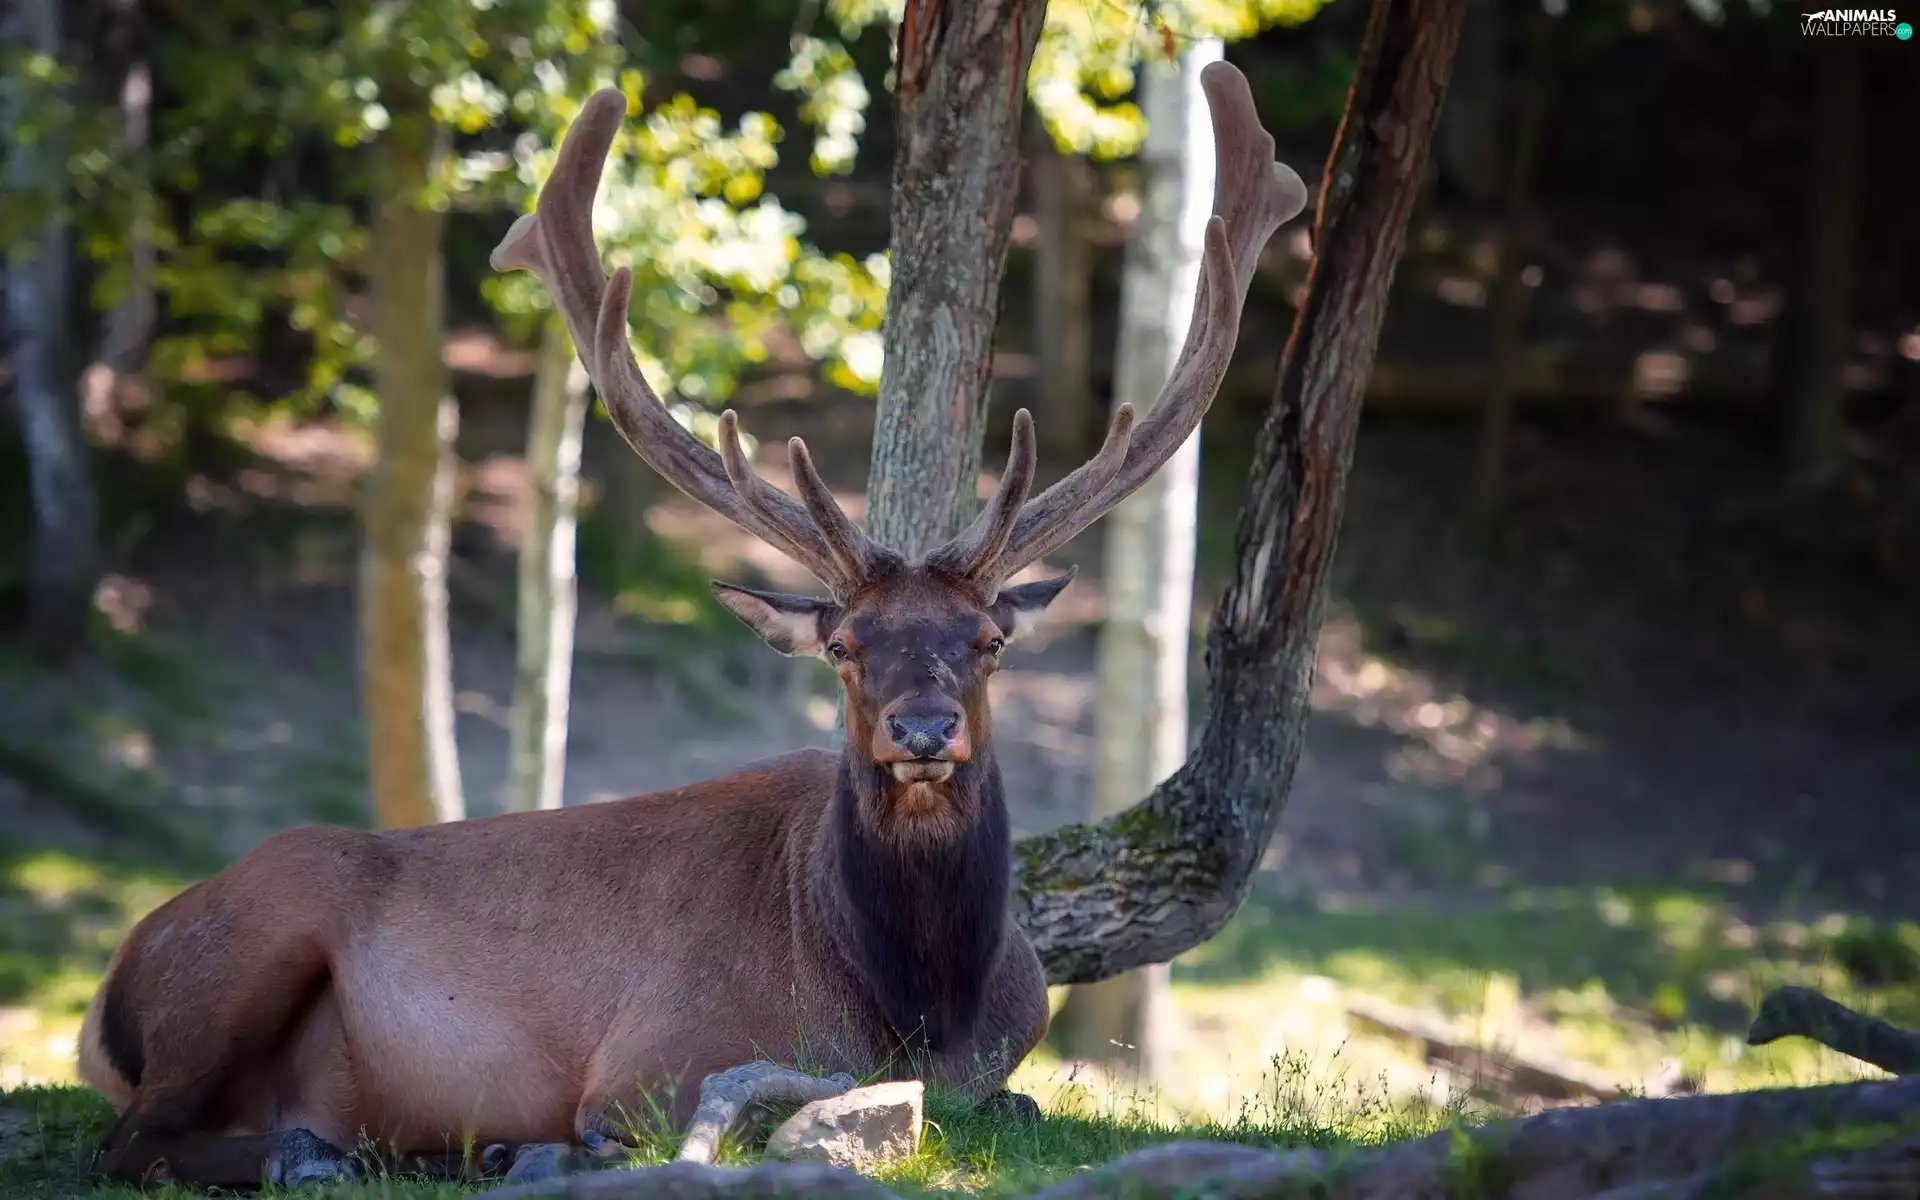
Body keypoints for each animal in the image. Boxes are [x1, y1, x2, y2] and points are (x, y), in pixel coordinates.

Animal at [75, 60, 1307, 1189]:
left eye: (988, 643)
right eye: (845, 647)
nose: (920, 731)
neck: (920, 1006)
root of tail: (111, 984)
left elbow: (1023, 1105)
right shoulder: (654, 1060)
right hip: (252, 939)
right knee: (132, 1140)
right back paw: (338, 1154)